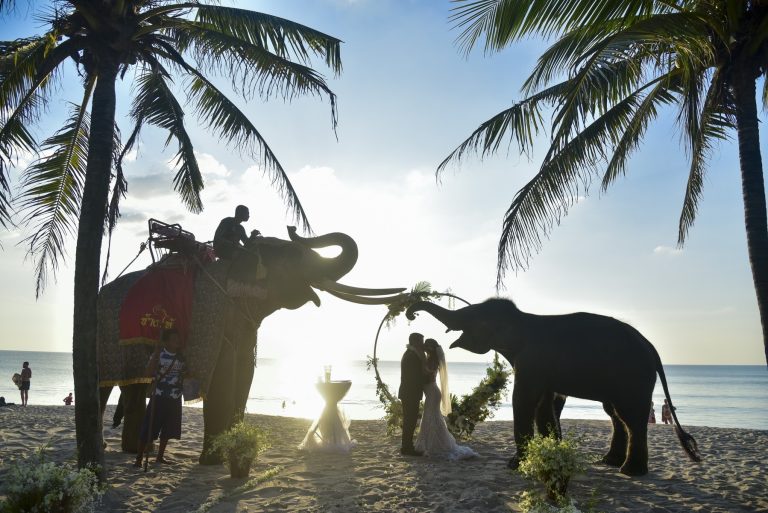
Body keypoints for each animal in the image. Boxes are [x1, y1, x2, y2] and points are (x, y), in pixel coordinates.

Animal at [98, 226, 404, 463]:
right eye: (294, 255)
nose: (293, 228)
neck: (237, 260)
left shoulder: (244, 324)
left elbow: (246, 374)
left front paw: (236, 451)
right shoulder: (218, 319)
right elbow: (223, 375)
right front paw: (214, 461)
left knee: (134, 388)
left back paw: (136, 450)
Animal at [405, 298, 701, 476]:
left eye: (476, 318)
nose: (411, 312)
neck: (523, 318)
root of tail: (651, 348)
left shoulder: (531, 361)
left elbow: (524, 400)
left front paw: (516, 465)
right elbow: (544, 406)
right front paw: (551, 453)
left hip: (633, 378)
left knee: (630, 416)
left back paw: (629, 471)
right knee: (616, 415)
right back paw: (609, 462)